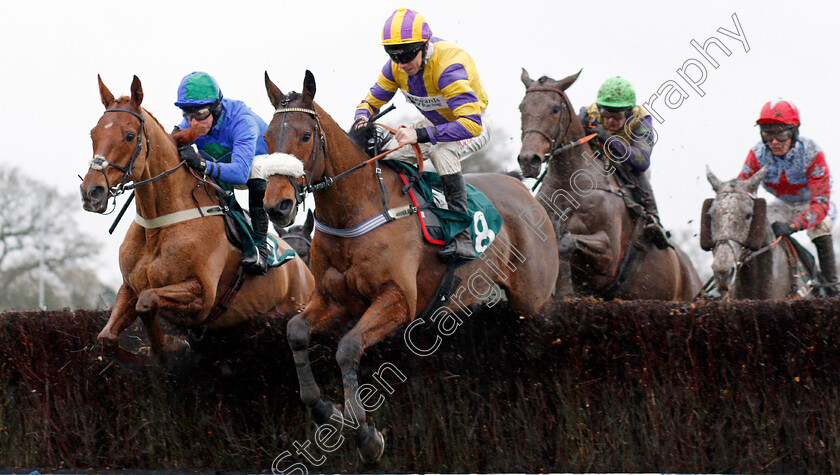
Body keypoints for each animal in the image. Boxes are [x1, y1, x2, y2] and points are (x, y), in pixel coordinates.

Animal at [79, 76, 316, 362]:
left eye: (129, 135)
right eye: (93, 133)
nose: (92, 191)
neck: (157, 226)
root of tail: (304, 269)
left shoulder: (201, 294)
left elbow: (147, 302)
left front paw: (164, 347)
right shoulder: (129, 287)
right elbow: (106, 339)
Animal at [264, 71, 556, 464]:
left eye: (305, 136)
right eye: (267, 137)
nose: (276, 206)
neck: (357, 207)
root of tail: (522, 189)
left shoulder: (399, 299)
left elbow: (348, 348)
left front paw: (366, 435)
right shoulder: (333, 299)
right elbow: (295, 331)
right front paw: (327, 411)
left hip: (534, 300)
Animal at [520, 69, 704, 302]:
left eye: (555, 109)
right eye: (522, 107)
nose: (528, 160)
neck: (569, 185)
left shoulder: (610, 256)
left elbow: (569, 242)